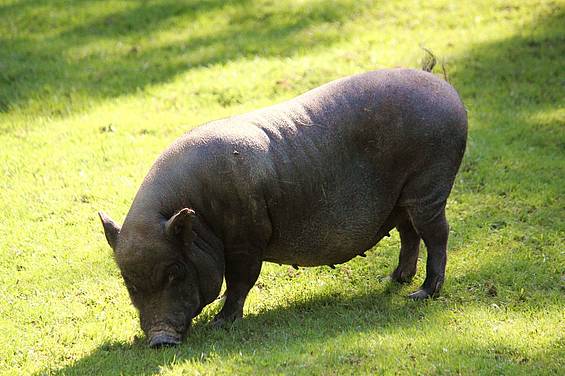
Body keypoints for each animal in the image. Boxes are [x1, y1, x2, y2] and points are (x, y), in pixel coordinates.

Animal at [98, 67, 468, 346]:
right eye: (128, 281)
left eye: (176, 271)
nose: (160, 340)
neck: (202, 213)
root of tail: (444, 88)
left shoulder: (247, 236)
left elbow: (240, 280)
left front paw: (221, 323)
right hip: (401, 199)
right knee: (409, 234)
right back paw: (392, 280)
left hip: (429, 184)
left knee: (438, 234)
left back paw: (420, 294)